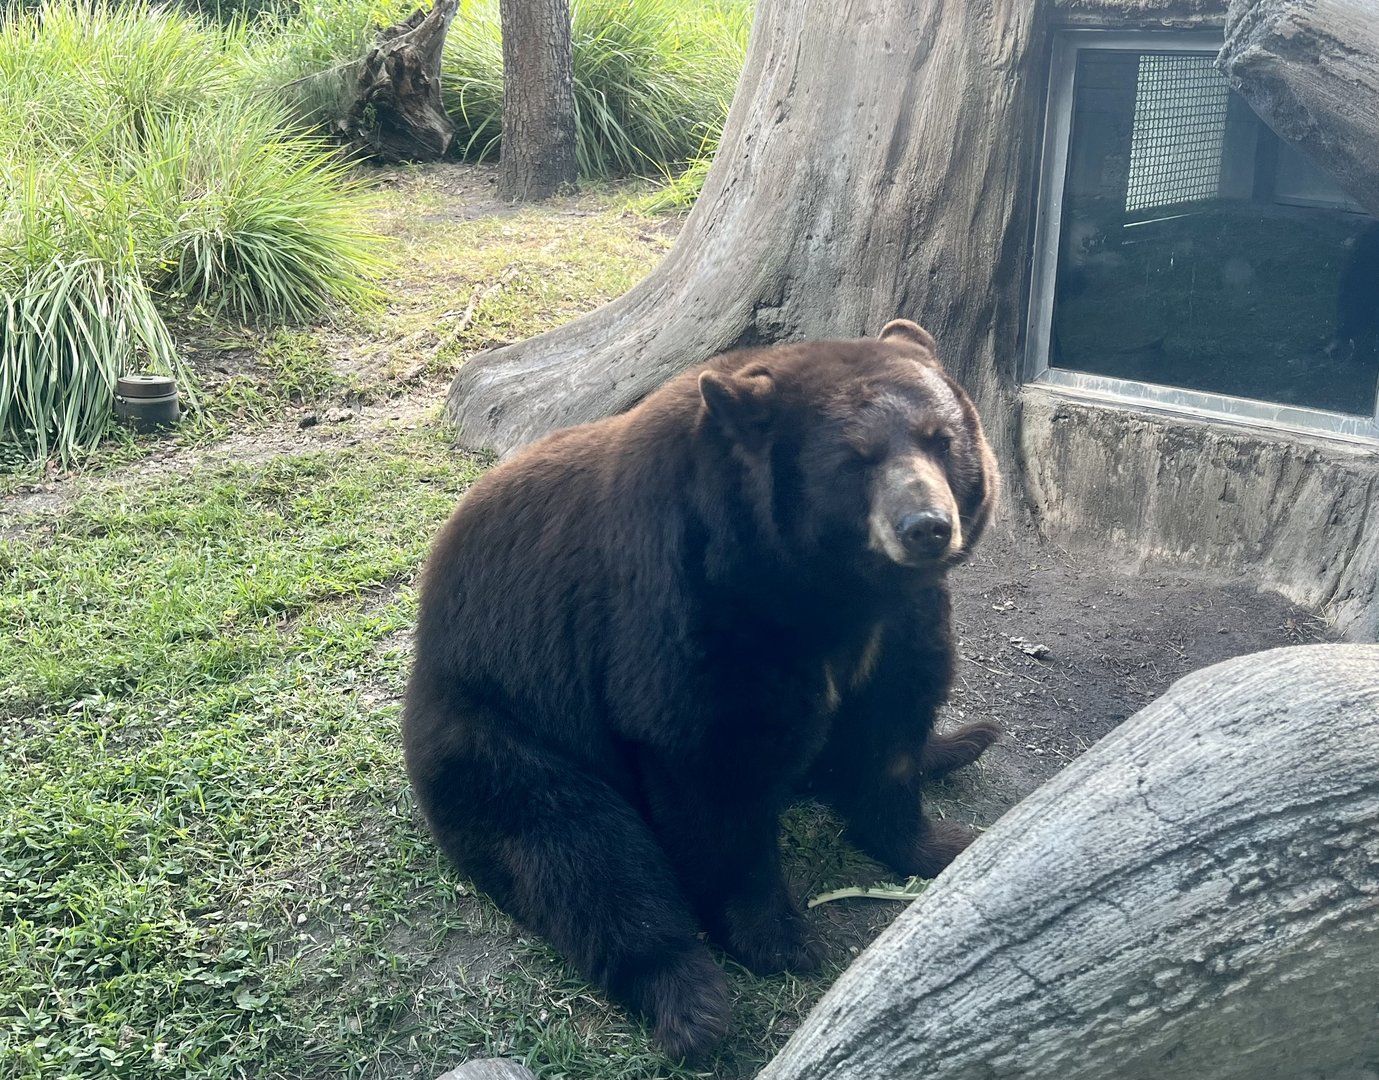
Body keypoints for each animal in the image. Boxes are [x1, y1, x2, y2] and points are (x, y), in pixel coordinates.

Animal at [402, 319, 1001, 1059]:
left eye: (940, 439)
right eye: (855, 459)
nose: (926, 527)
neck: (823, 592)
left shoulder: (896, 621)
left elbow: (892, 721)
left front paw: (936, 841)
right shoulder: (691, 604)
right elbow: (708, 766)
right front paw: (778, 937)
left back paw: (965, 742)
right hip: (500, 728)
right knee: (580, 853)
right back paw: (691, 1002)